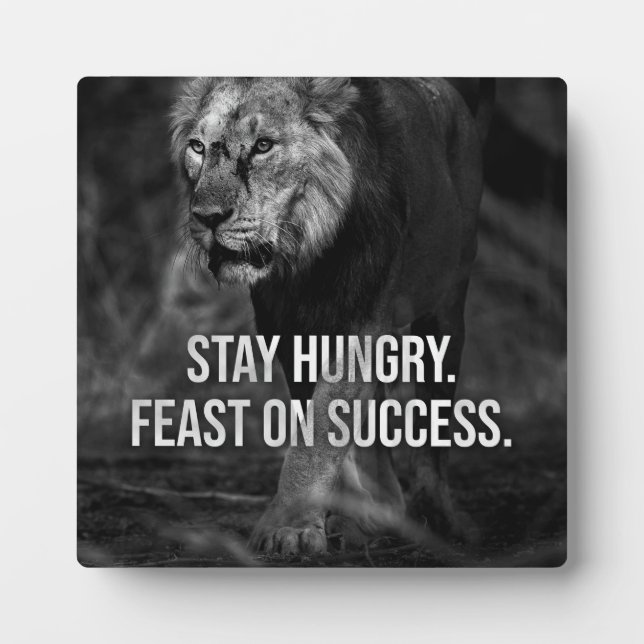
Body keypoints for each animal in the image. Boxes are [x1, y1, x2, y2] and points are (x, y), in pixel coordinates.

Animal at [170, 77, 492, 556]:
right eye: (197, 146)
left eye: (263, 145)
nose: (207, 218)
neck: (307, 254)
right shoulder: (288, 330)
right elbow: (322, 425)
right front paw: (339, 517)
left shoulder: (362, 316)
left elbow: (320, 429)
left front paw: (288, 527)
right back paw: (378, 512)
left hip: (446, 306)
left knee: (432, 430)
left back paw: (439, 517)